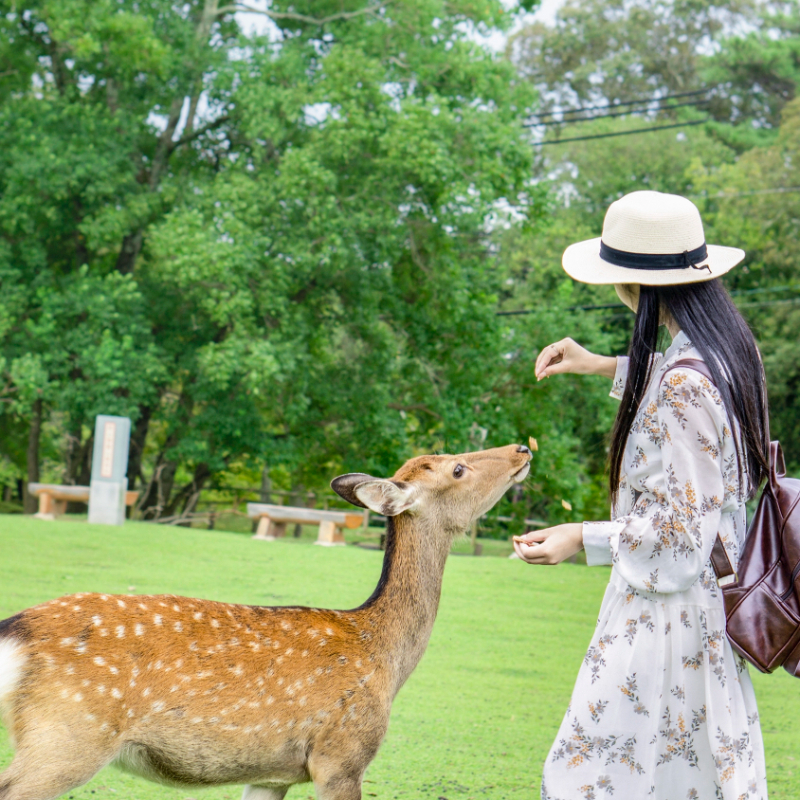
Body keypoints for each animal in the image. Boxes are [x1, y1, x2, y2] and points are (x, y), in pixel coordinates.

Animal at [0, 444, 532, 800]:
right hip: (67, 737)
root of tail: (15, 632)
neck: (387, 656)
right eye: (458, 467)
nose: (522, 448)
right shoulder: (342, 756)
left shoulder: (271, 773)